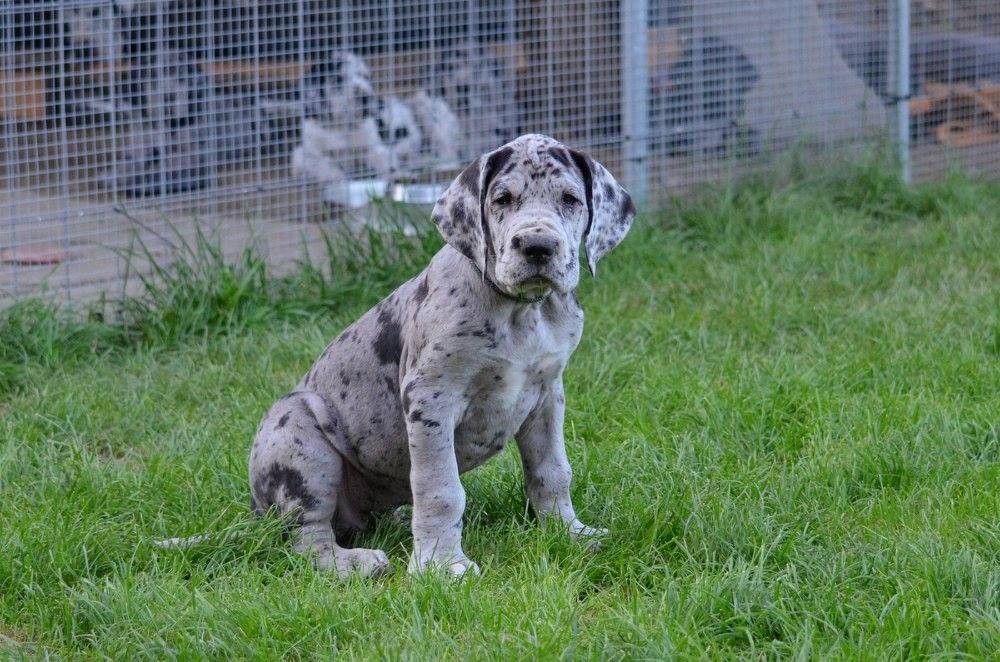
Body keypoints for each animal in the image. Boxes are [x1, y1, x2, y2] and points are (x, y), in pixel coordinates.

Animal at [250, 134, 635, 577]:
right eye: (502, 199)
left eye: (570, 199)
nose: (537, 246)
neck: (521, 312)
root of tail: (256, 508)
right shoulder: (431, 397)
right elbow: (441, 489)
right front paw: (441, 565)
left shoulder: (547, 395)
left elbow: (552, 470)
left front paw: (568, 532)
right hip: (300, 437)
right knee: (306, 537)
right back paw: (354, 563)